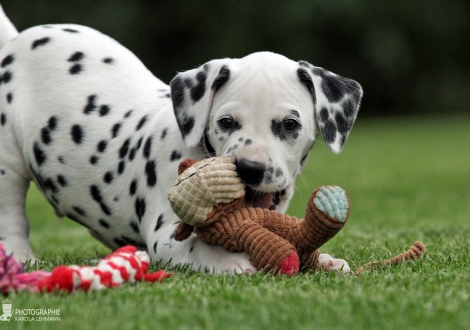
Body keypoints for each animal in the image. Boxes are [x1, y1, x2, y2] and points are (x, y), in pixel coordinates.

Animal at [0, 5, 364, 274]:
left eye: (290, 124)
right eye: (226, 122)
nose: (249, 169)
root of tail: (17, 41)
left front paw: (326, 260)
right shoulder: (165, 235)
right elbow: (196, 244)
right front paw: (230, 260)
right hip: (8, 166)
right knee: (12, 218)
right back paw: (23, 259)